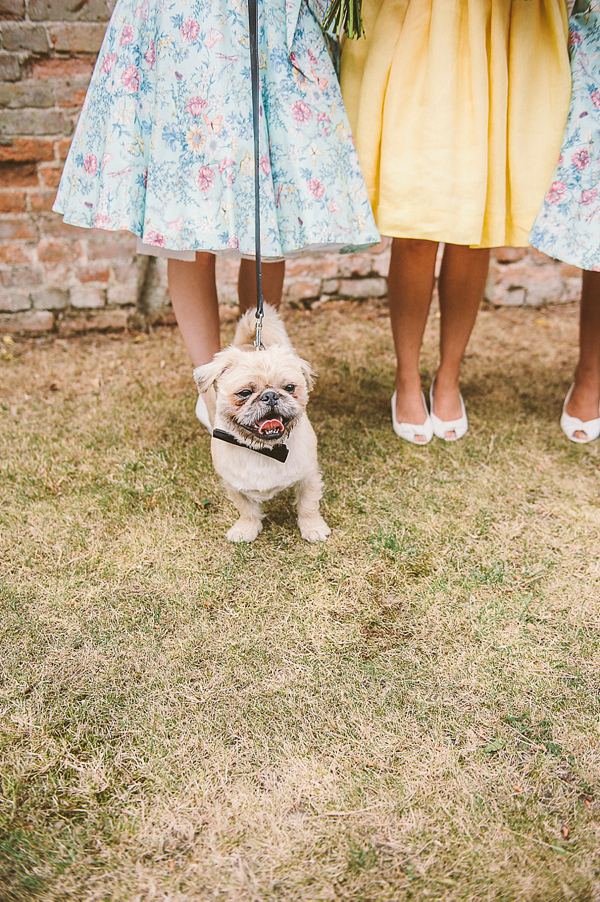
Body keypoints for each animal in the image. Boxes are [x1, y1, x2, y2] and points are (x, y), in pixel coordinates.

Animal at [195, 306, 330, 544]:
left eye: (290, 387)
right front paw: (246, 528)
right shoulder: (233, 485)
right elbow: (246, 509)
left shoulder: (309, 477)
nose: (270, 396)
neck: (264, 450)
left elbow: (308, 506)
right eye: (244, 393)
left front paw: (313, 528)